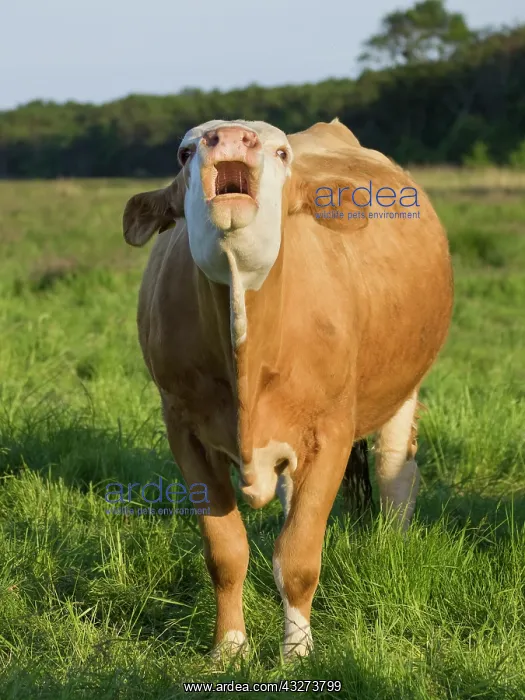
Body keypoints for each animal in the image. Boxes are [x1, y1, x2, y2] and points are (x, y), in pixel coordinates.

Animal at [122, 118, 453, 661]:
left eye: (281, 153)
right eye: (185, 152)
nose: (229, 136)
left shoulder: (331, 432)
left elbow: (297, 556)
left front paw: (296, 649)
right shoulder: (184, 430)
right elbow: (226, 551)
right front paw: (228, 647)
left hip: (405, 387)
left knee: (395, 477)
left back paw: (390, 547)